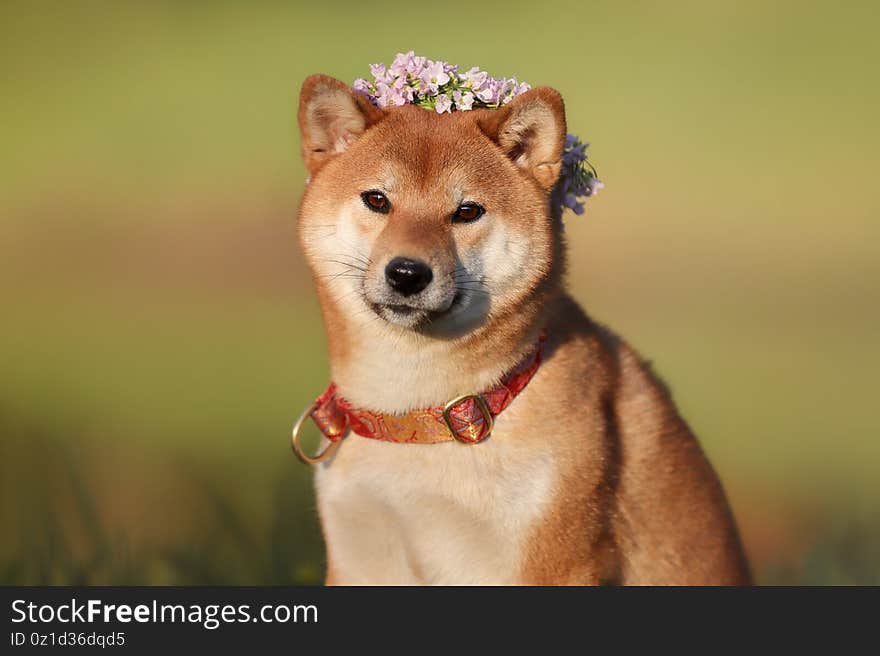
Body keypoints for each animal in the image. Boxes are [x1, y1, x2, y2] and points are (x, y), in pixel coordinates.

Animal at [296, 73, 748, 584]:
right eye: (377, 199)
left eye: (467, 211)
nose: (407, 274)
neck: (418, 415)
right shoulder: (360, 557)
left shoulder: (553, 564)